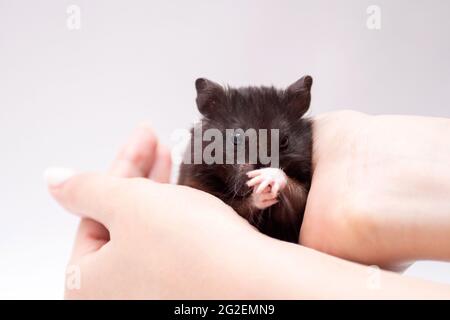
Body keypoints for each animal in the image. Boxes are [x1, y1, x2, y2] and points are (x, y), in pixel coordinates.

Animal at [177, 77, 312, 242]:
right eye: (236, 138)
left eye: (284, 141)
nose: (260, 167)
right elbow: (242, 207)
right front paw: (260, 190)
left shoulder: (299, 207)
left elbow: (297, 196)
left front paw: (266, 177)